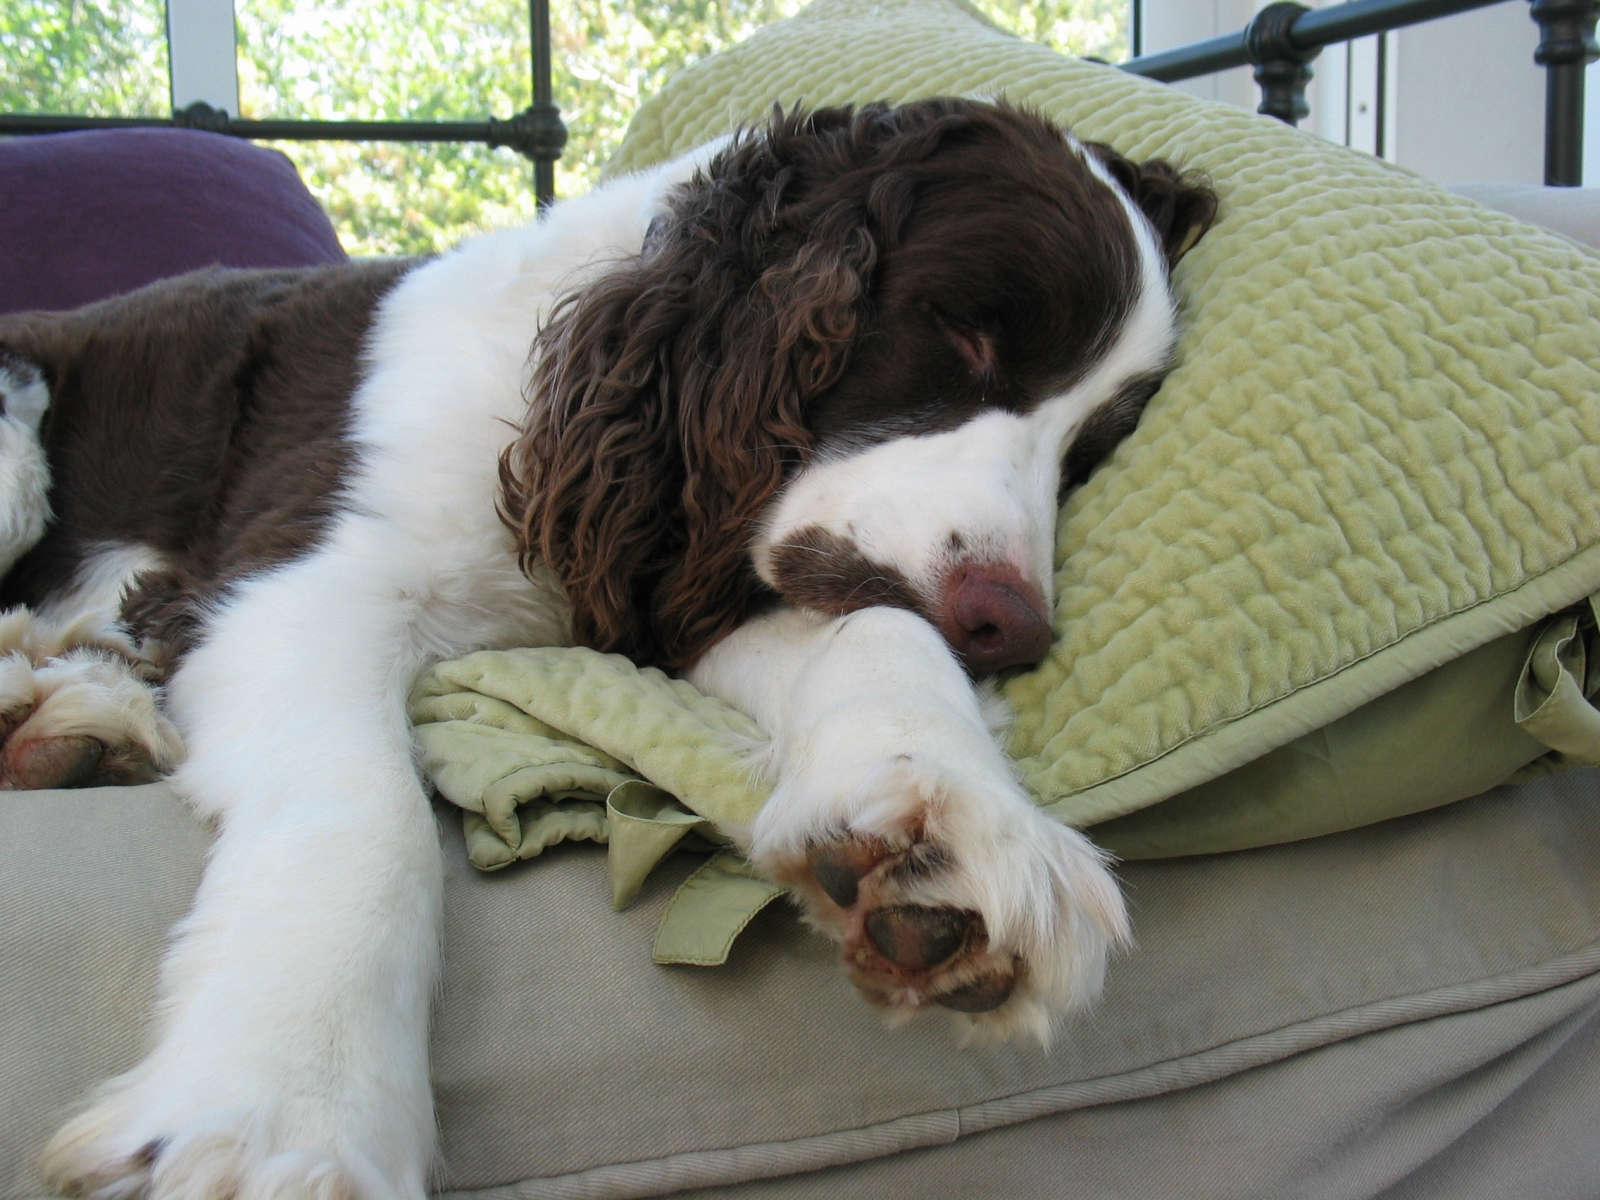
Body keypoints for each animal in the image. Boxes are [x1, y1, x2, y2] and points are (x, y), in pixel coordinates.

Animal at [0, 101, 1203, 1200]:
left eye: (1091, 447)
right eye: (965, 335)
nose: (1012, 626)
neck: (558, 391)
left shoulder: (669, 584)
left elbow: (881, 625)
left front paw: (949, 832)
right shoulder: (295, 584)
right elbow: (368, 810)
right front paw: (281, 1110)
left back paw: (73, 717)